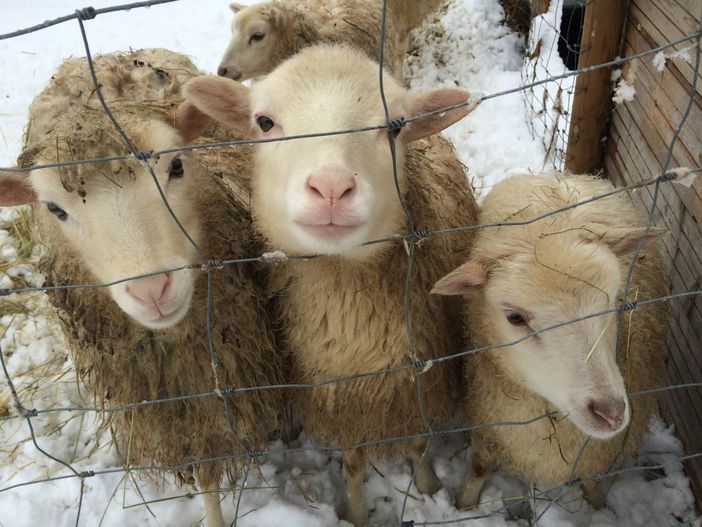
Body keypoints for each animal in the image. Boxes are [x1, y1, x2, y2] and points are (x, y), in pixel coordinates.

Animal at [183, 45, 478, 527]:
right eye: (265, 122)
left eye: (395, 125)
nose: (332, 188)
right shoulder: (344, 396)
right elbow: (354, 463)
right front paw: (358, 512)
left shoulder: (417, 377)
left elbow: (418, 440)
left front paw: (428, 486)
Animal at [434, 173, 672, 512]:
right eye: (515, 317)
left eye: (613, 298)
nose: (610, 413)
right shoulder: (490, 421)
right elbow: (479, 466)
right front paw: (465, 506)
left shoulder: (597, 454)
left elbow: (594, 483)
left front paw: (598, 510)